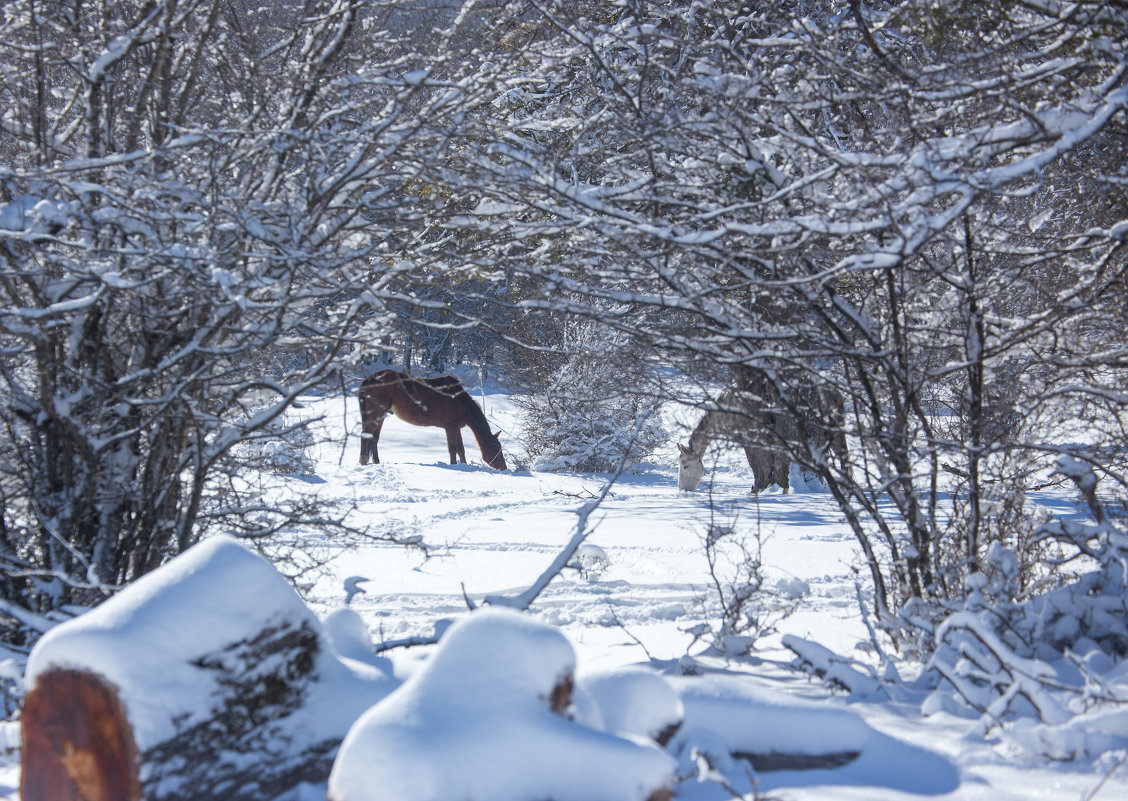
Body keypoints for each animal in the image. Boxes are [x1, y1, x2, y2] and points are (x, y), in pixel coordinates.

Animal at [358, 370, 505, 471]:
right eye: (496, 448)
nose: (504, 467)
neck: (460, 401)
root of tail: (370, 378)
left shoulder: (456, 427)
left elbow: (460, 449)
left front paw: (463, 464)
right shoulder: (450, 426)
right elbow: (453, 448)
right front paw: (454, 465)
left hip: (380, 416)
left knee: (374, 437)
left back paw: (376, 461)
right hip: (377, 413)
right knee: (365, 434)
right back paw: (363, 461)